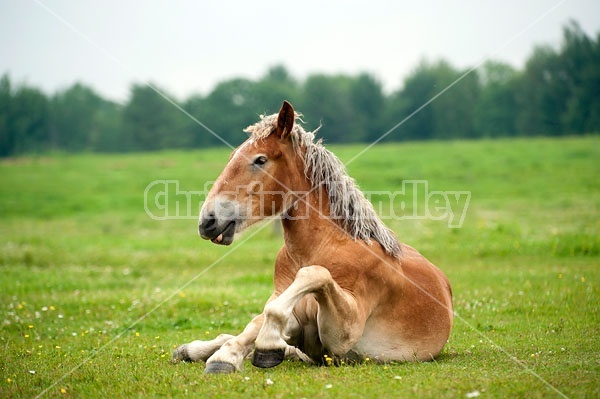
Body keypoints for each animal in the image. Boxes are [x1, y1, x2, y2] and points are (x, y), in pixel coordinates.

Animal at [171, 101, 452, 376]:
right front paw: (226, 356)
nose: (207, 221)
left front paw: (258, 349)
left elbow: (310, 278)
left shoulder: (344, 334)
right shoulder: (292, 315)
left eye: (260, 159)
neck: (322, 246)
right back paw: (190, 349)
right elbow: (258, 320)